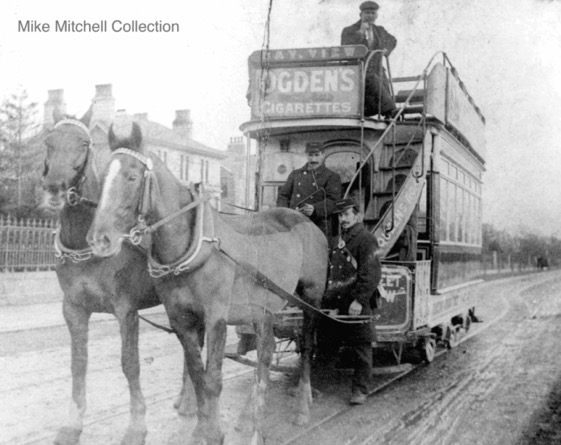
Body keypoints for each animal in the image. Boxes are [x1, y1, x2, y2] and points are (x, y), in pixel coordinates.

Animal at [40, 109, 191, 444]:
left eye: (83, 143)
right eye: (48, 142)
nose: (55, 188)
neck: (85, 247)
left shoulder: (126, 311)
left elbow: (130, 365)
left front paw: (136, 426)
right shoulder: (74, 310)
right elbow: (78, 364)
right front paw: (73, 423)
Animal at [85, 116, 326, 442]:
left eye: (132, 177)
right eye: (102, 177)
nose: (99, 239)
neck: (195, 244)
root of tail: (305, 218)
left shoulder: (215, 318)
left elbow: (213, 379)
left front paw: (213, 432)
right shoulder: (181, 319)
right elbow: (198, 374)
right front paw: (201, 427)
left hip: (311, 298)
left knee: (308, 346)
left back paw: (302, 405)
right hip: (263, 308)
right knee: (265, 354)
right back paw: (250, 418)